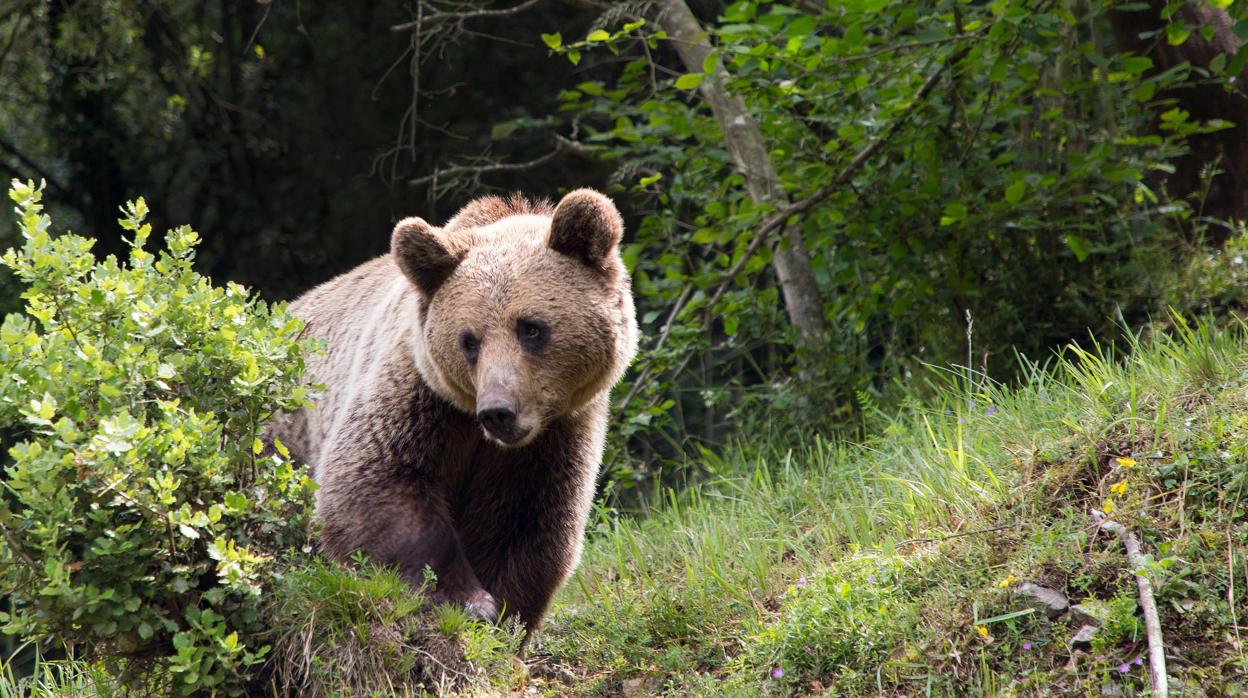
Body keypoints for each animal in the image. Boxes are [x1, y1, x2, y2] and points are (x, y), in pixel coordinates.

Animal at [263, 188, 633, 631]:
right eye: (469, 340)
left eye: (531, 328)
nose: (498, 411)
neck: (482, 437)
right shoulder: (419, 395)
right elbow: (375, 482)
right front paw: (468, 599)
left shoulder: (555, 436)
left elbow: (526, 522)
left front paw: (503, 611)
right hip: (284, 435)